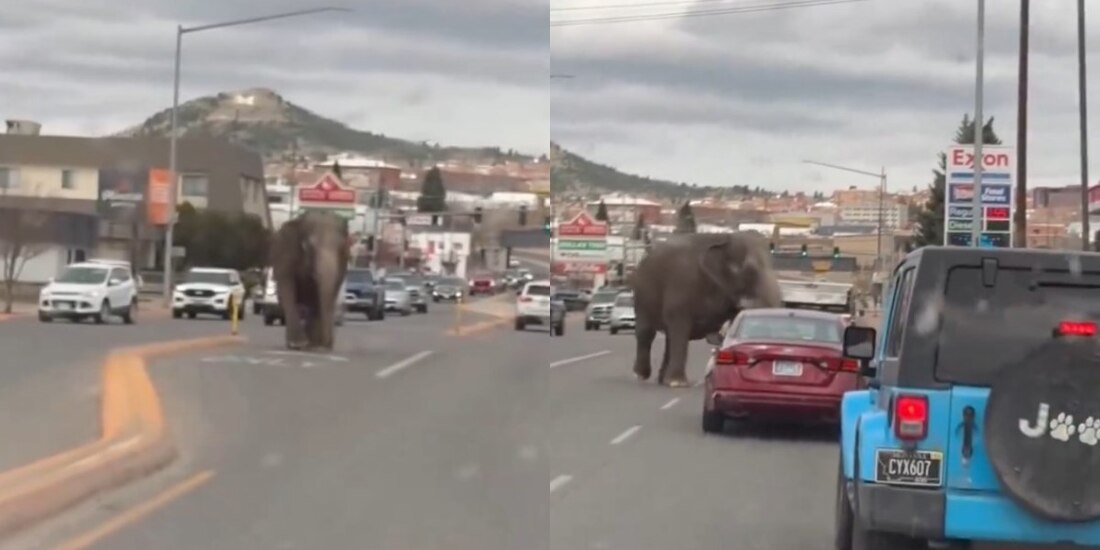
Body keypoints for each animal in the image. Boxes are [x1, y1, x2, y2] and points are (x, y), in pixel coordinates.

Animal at [270, 211, 350, 351]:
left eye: (341, 247)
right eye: (309, 246)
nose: (327, 344)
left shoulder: (342, 264)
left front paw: (316, 345)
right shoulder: (286, 254)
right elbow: (287, 288)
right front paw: (297, 344)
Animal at [631, 232, 783, 387]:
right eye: (750, 270)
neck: (725, 238)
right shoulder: (682, 284)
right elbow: (680, 326)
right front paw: (678, 383)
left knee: (668, 337)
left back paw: (662, 380)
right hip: (641, 294)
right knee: (647, 332)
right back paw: (642, 375)